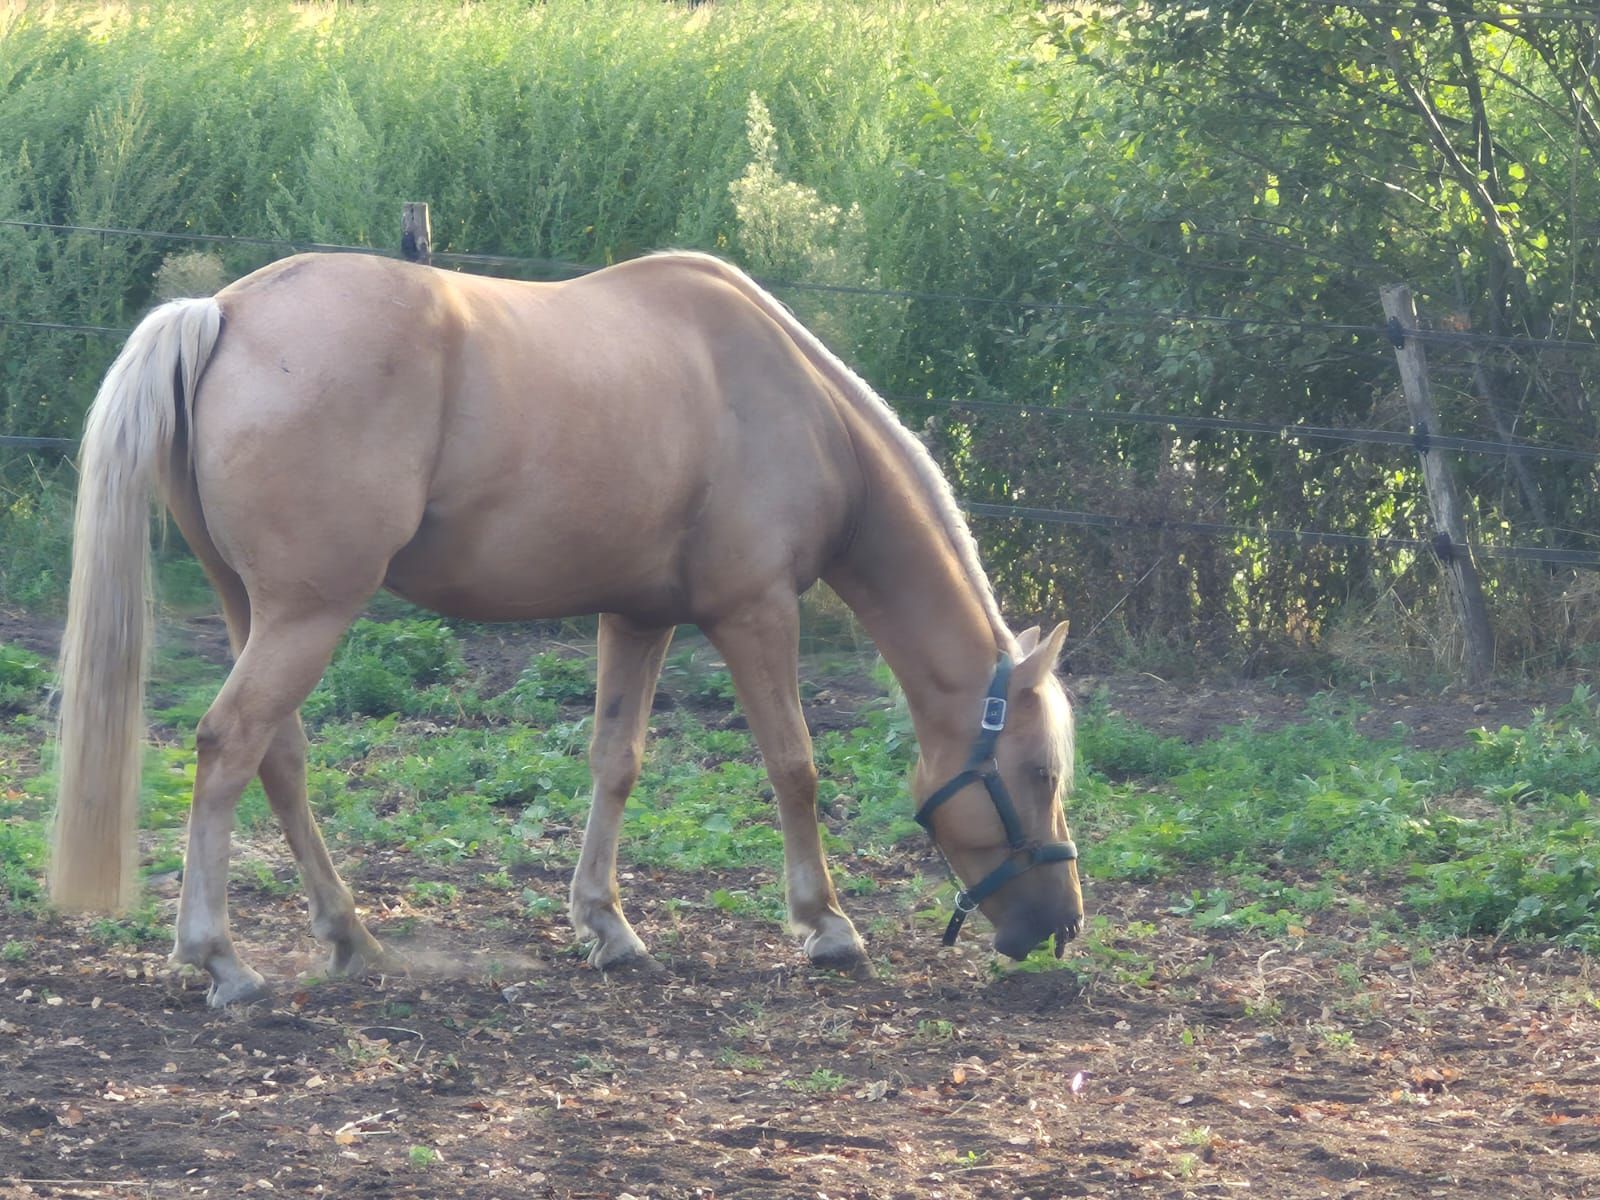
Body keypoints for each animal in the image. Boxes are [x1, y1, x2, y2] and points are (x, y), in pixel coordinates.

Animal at [49, 250, 1084, 1007]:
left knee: (278, 756)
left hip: (256, 608)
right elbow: (794, 766)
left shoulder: (638, 615)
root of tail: (224, 313)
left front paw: (606, 925)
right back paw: (220, 958)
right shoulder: (754, 612)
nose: (1061, 925)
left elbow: (615, 761)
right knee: (228, 746)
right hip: (308, 615)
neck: (795, 403)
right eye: (1039, 773)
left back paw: (350, 936)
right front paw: (826, 925)